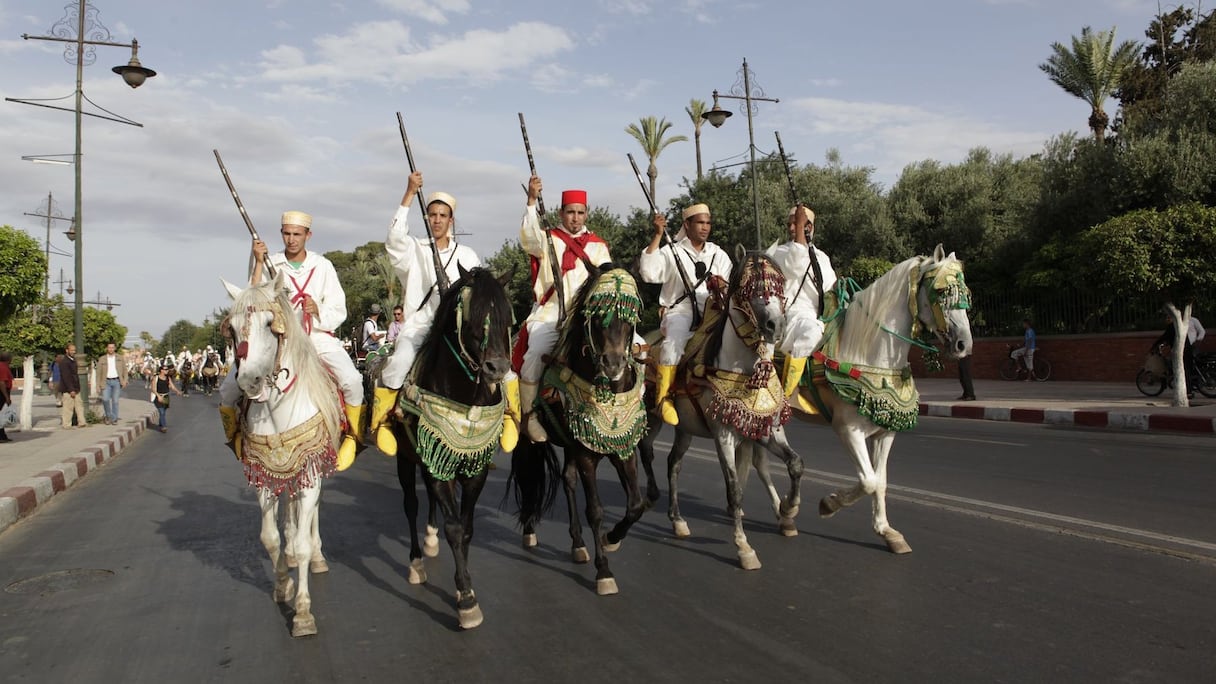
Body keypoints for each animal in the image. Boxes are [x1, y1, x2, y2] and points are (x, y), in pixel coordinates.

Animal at [221, 271, 338, 632]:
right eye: (232, 329)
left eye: (270, 324)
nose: (249, 382)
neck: (276, 408)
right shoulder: (264, 474)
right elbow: (270, 537)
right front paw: (283, 585)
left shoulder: (311, 467)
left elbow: (301, 542)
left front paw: (302, 612)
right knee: (289, 508)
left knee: (312, 513)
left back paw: (318, 556)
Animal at [787, 242, 977, 550]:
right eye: (941, 291)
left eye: (965, 294)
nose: (964, 344)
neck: (866, 351)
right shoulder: (848, 429)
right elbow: (868, 481)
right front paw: (829, 504)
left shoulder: (884, 431)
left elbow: (881, 480)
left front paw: (886, 531)